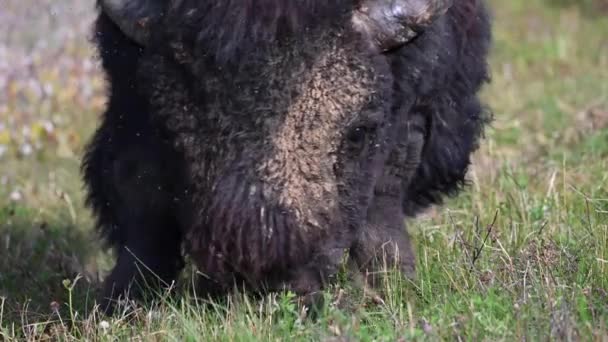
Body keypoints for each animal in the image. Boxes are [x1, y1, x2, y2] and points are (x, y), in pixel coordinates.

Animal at [83, 0, 492, 312]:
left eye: (359, 131)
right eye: (171, 131)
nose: (270, 278)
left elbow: (383, 199)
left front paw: (395, 284)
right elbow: (142, 210)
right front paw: (119, 303)